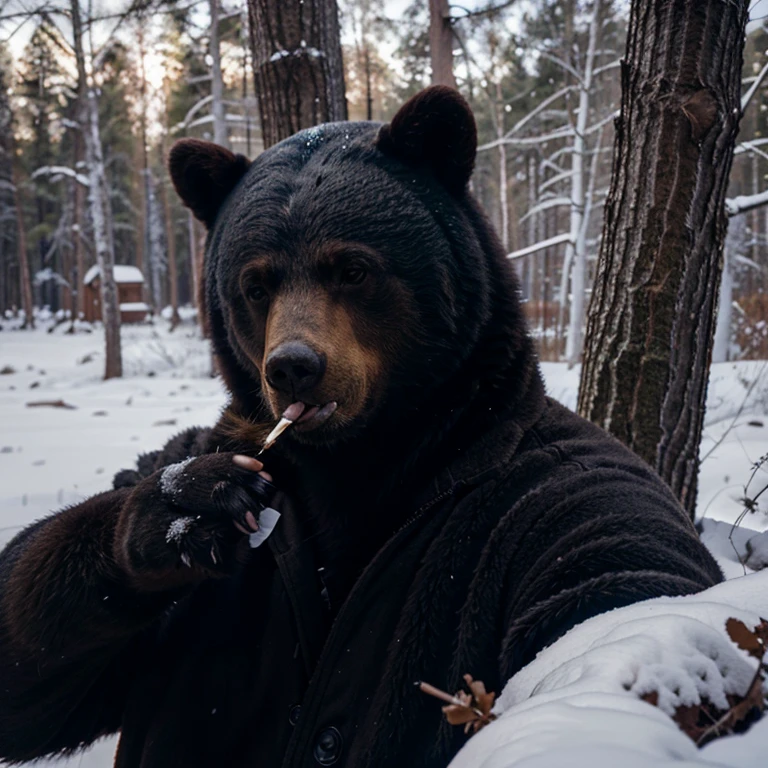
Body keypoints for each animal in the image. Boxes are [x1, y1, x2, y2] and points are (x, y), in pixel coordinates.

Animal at [0, 87, 720, 764]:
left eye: (352, 268)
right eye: (255, 284)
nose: (292, 367)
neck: (363, 457)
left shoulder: (581, 510)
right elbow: (30, 660)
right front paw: (185, 504)